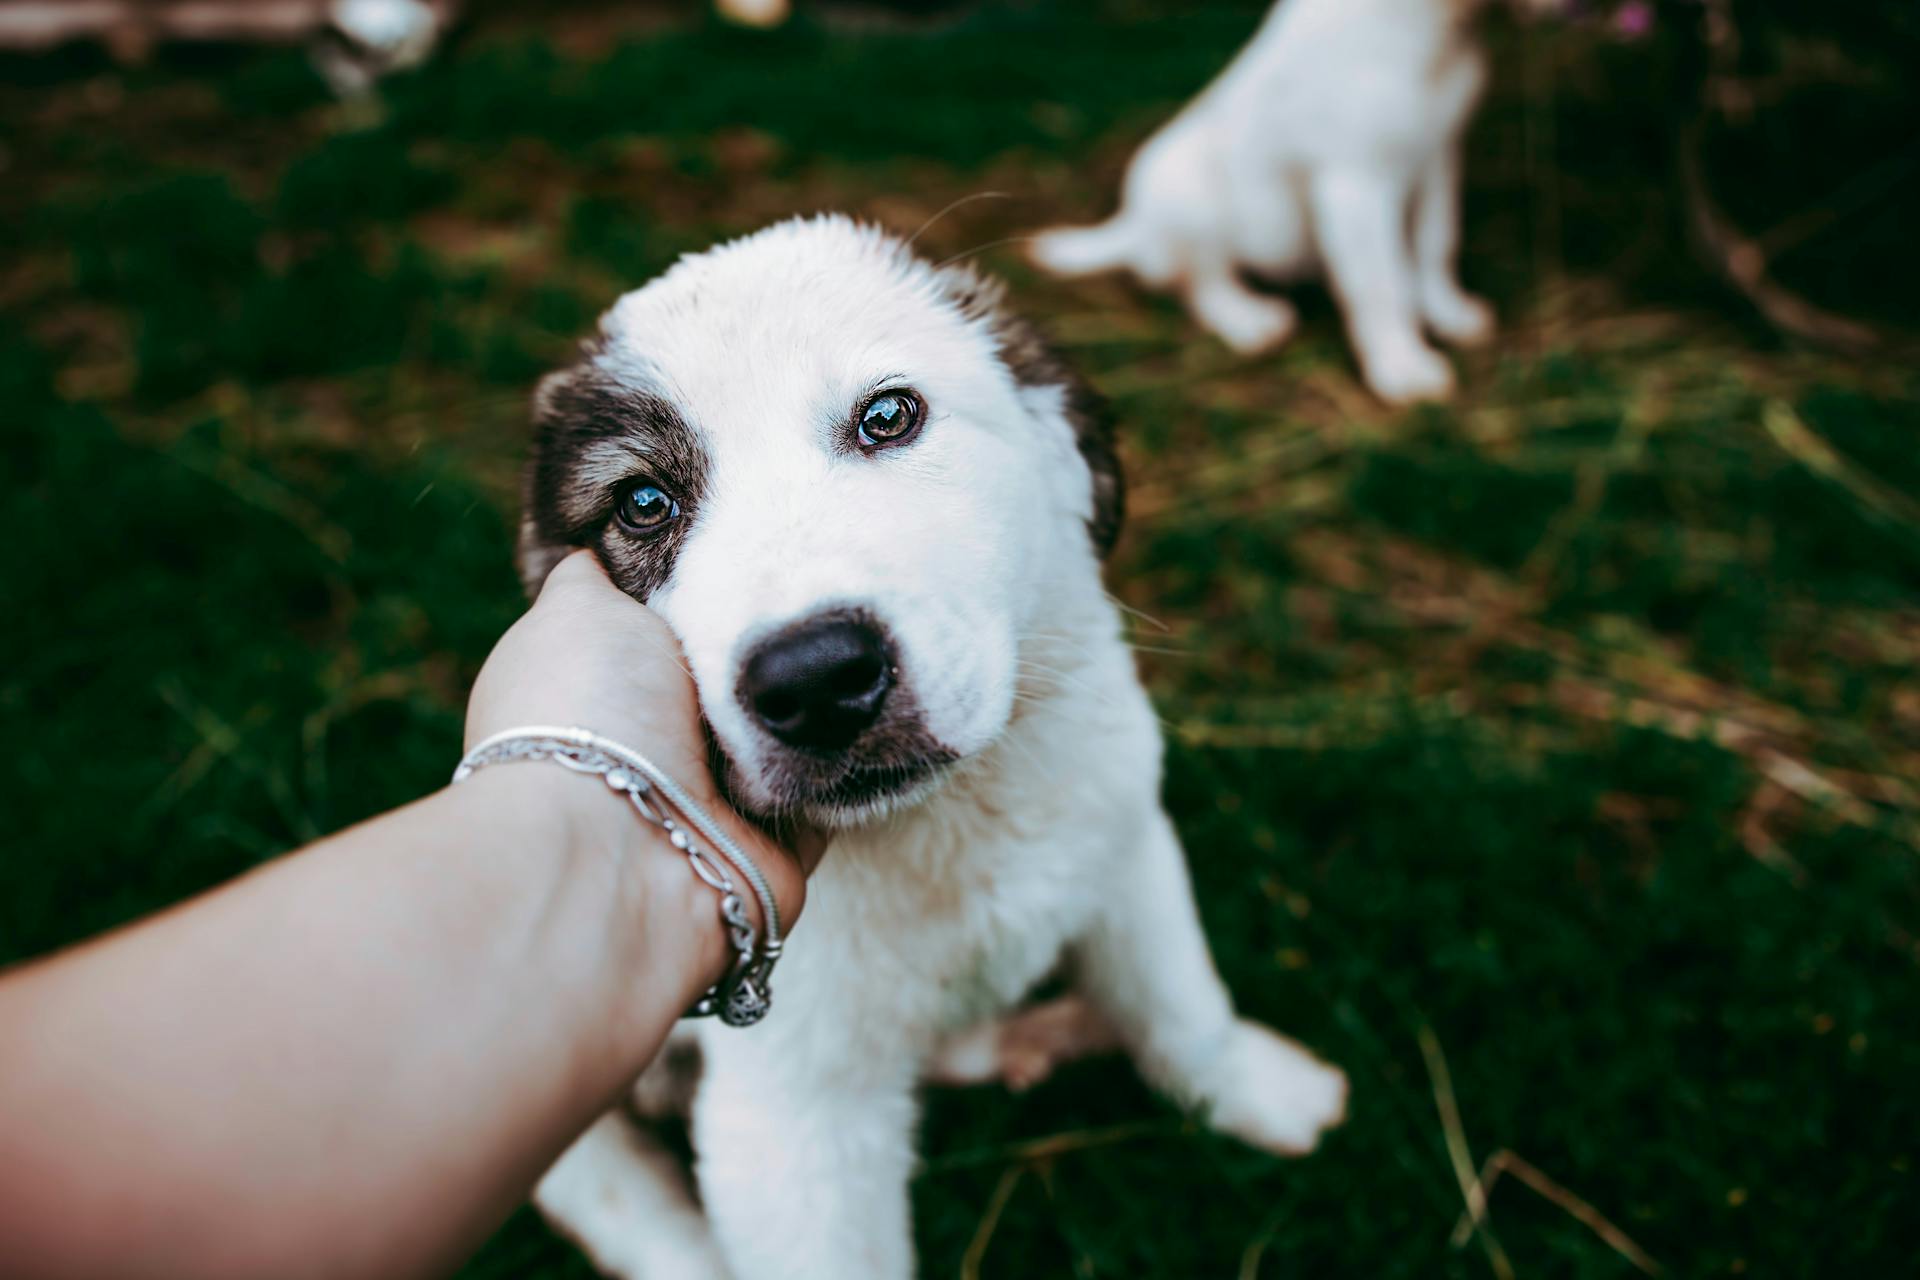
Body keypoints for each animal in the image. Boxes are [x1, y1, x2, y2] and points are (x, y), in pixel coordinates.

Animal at [518, 214, 1344, 1274]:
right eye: (643, 504)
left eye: (888, 417)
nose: (815, 681)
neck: (951, 819)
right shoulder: (789, 1121)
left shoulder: (1126, 846)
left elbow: (1179, 999)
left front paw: (1258, 1091)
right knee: (612, 1193)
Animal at [1036, 0, 1528, 404]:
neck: (1435, 34)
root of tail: (1135, 227)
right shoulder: (1354, 183)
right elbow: (1377, 283)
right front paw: (1402, 366)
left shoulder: (1439, 155)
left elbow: (1435, 240)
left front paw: (1448, 312)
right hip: (1181, 186)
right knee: (1199, 282)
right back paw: (1249, 319)